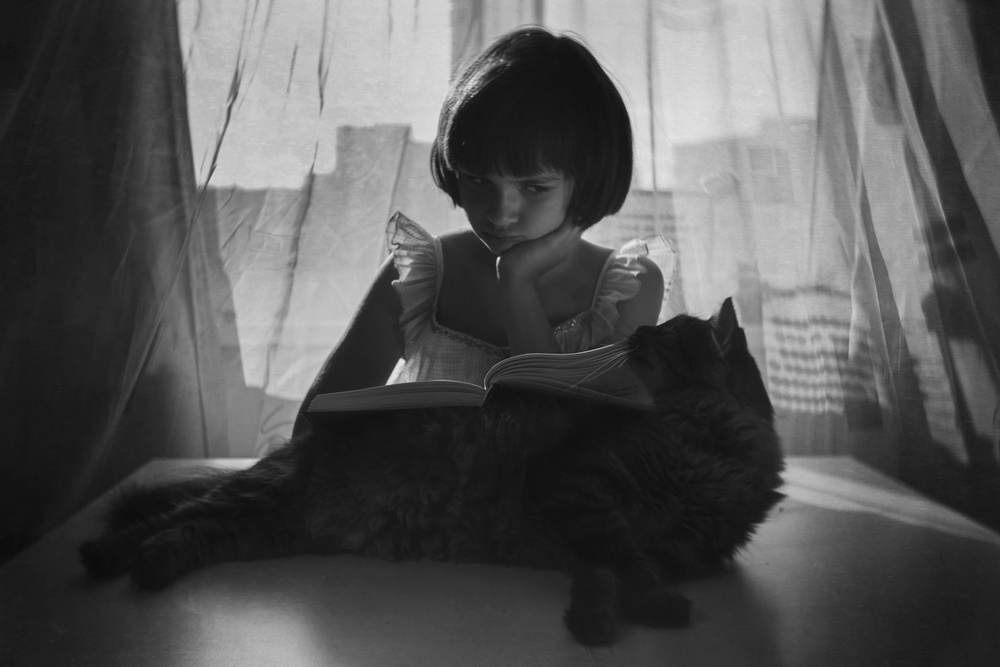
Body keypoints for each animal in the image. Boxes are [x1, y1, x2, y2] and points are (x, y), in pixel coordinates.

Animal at [79, 297, 784, 646]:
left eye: (667, 333)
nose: (637, 331)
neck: (714, 437)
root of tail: (294, 444)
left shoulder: (648, 539)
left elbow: (605, 573)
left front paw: (594, 624)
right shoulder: (583, 484)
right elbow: (623, 563)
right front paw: (652, 609)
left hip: (267, 525)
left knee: (185, 533)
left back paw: (149, 566)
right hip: (259, 496)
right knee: (166, 519)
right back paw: (103, 555)